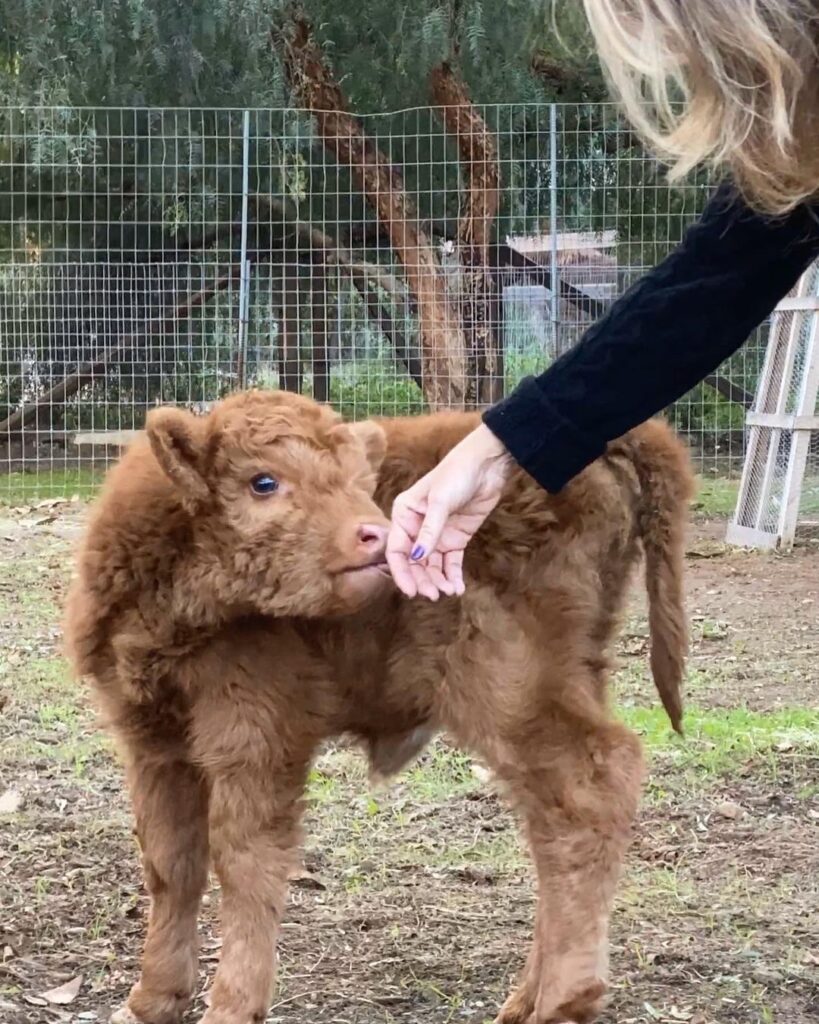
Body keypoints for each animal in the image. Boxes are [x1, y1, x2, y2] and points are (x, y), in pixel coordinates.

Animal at [65, 391, 692, 1024]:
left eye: (356, 481)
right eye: (263, 481)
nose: (376, 532)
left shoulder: (255, 737)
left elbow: (245, 864)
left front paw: (231, 1007)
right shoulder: (152, 740)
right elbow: (171, 864)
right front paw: (150, 1001)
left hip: (511, 685)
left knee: (591, 788)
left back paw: (565, 1000)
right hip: (567, 680)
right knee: (552, 827)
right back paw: (523, 1002)